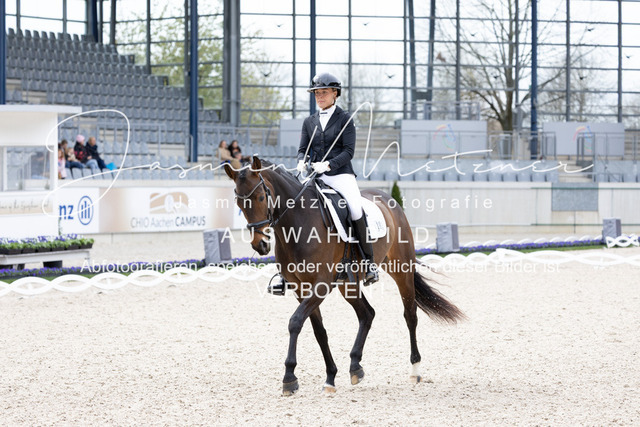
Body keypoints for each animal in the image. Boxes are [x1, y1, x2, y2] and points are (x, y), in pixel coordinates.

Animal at [224, 156, 465, 395]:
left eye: (261, 197)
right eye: (239, 203)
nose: (261, 245)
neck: (298, 223)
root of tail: (389, 199)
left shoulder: (320, 285)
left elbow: (295, 322)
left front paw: (289, 378)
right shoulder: (301, 288)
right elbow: (318, 331)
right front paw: (330, 377)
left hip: (401, 269)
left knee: (410, 314)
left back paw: (414, 370)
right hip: (347, 284)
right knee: (367, 314)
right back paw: (355, 366)